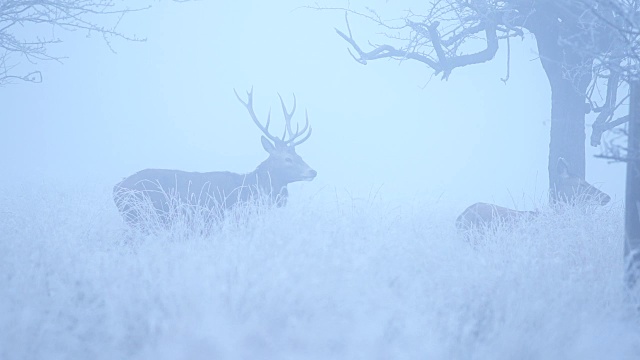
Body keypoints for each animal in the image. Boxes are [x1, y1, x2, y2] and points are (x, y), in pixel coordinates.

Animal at [114, 89, 318, 231]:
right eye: (288, 159)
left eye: (300, 156)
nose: (313, 171)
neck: (252, 188)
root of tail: (116, 188)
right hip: (141, 217)